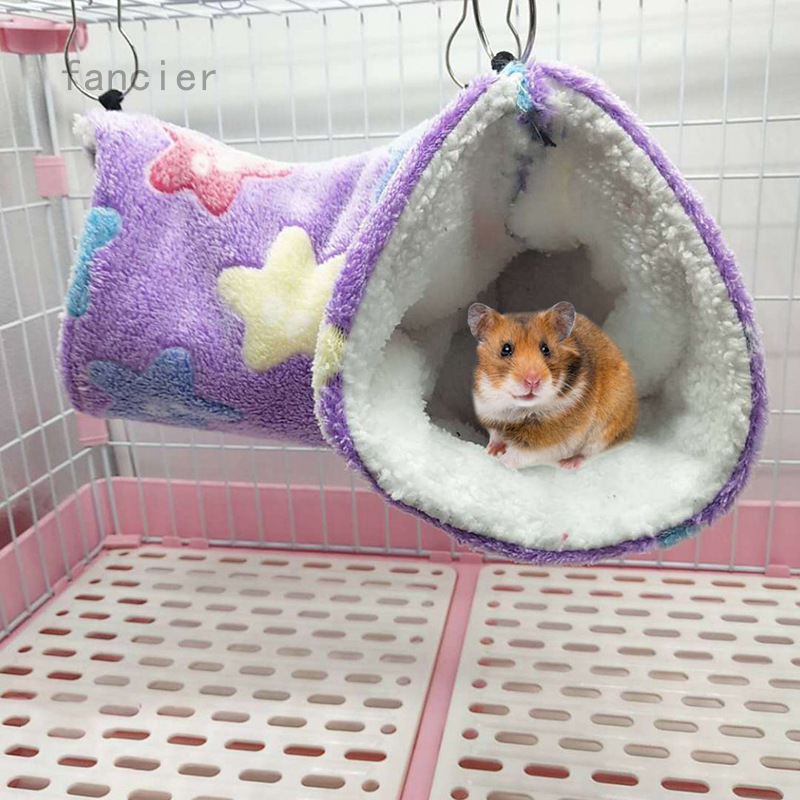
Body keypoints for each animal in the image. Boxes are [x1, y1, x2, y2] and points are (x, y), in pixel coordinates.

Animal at [468, 301, 638, 470]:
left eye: (546, 349)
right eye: (505, 349)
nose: (532, 380)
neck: (517, 409)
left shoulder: (549, 438)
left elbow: (519, 453)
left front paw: (501, 462)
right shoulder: (491, 412)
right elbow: (495, 435)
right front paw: (491, 451)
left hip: (607, 430)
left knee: (591, 453)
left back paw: (568, 464)